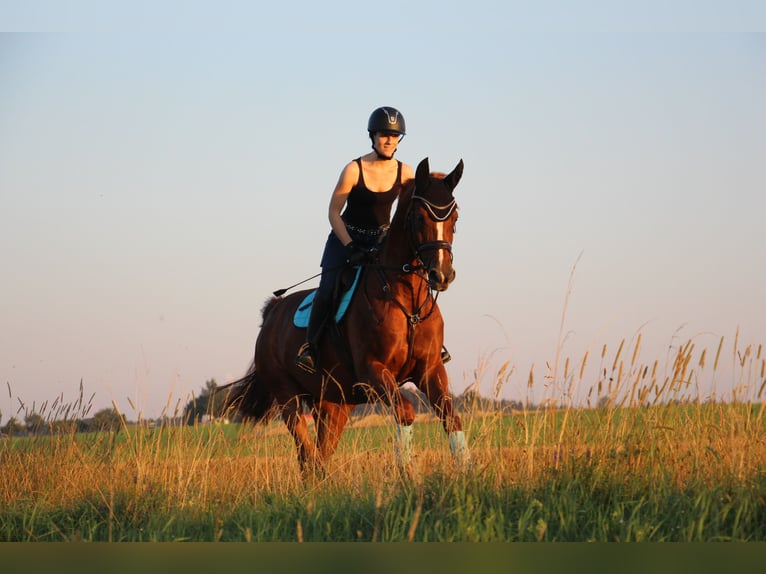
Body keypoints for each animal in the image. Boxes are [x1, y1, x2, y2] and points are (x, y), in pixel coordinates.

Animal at [224, 158, 468, 472]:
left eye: (455, 218)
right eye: (418, 217)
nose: (442, 275)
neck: (408, 302)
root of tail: (273, 313)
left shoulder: (430, 369)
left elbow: (452, 417)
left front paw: (466, 470)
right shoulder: (373, 372)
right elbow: (406, 411)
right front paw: (407, 473)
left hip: (333, 403)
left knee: (319, 456)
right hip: (288, 398)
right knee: (307, 454)